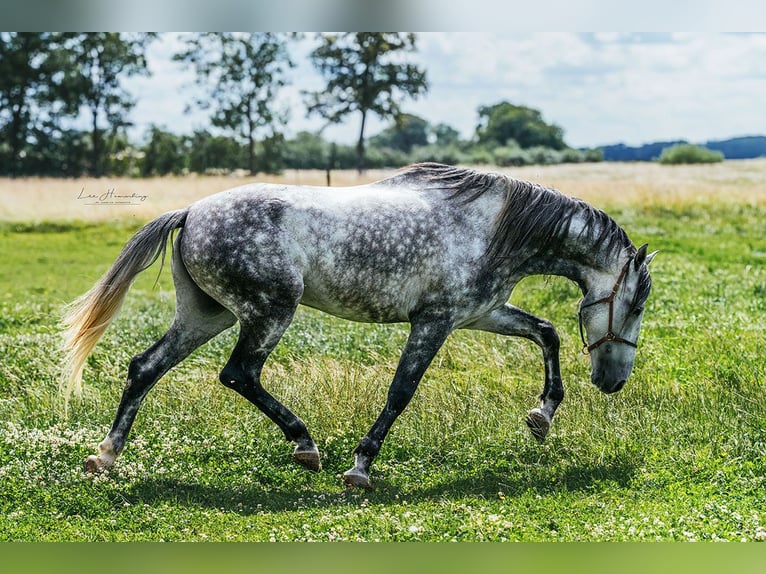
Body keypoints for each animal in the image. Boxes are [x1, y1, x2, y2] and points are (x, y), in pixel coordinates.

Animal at [61, 163, 660, 490]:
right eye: (635, 305)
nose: (613, 382)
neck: (493, 227)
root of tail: (190, 212)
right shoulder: (435, 321)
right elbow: (401, 392)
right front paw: (360, 468)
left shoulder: (480, 313)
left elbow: (547, 332)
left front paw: (540, 417)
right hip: (269, 312)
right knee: (239, 374)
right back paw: (305, 446)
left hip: (207, 315)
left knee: (145, 367)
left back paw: (103, 457)